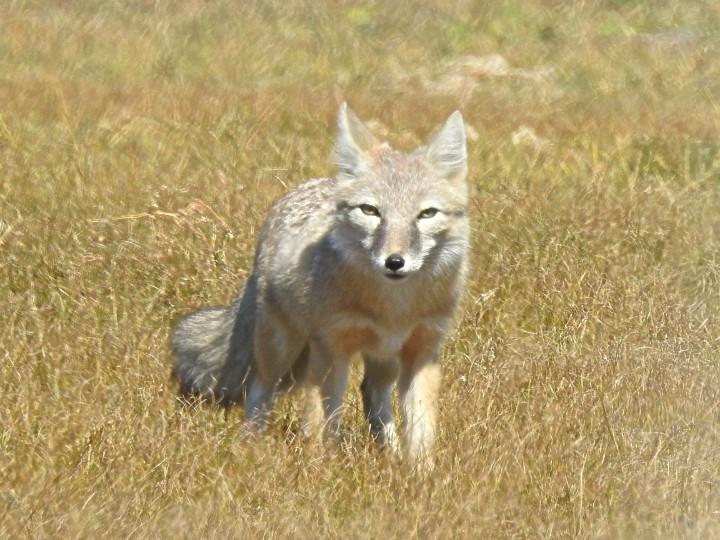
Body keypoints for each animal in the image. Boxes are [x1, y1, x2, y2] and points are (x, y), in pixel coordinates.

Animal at [171, 103, 470, 467]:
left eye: (426, 214)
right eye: (371, 211)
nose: (394, 262)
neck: (393, 308)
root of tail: (305, 188)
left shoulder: (422, 351)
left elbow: (422, 428)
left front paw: (420, 472)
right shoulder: (332, 348)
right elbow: (325, 420)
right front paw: (323, 466)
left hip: (382, 359)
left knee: (372, 394)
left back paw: (389, 453)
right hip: (282, 346)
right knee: (260, 389)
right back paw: (251, 445)